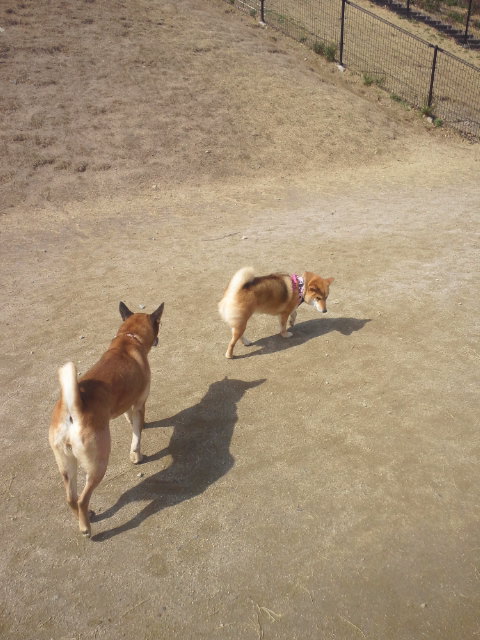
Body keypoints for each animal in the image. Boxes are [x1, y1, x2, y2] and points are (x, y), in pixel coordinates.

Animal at [49, 301, 164, 537]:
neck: (129, 339)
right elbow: (137, 436)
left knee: (71, 498)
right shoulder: (139, 404)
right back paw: (86, 528)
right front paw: (137, 456)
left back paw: (86, 516)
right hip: (97, 463)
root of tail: (72, 410)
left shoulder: (128, 406)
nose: (159, 339)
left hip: (66, 464)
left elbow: (132, 423)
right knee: (82, 499)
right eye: (159, 323)